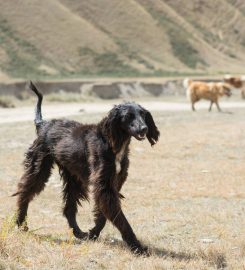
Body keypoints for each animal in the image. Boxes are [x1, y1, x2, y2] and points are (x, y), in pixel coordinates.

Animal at [13, 81, 159, 254]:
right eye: (128, 116)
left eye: (142, 114)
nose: (144, 129)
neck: (113, 143)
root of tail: (44, 124)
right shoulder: (104, 185)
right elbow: (119, 217)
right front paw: (136, 246)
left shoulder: (112, 183)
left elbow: (103, 215)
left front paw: (93, 233)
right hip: (39, 168)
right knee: (24, 193)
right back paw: (21, 223)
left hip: (73, 178)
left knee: (68, 209)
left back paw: (78, 233)